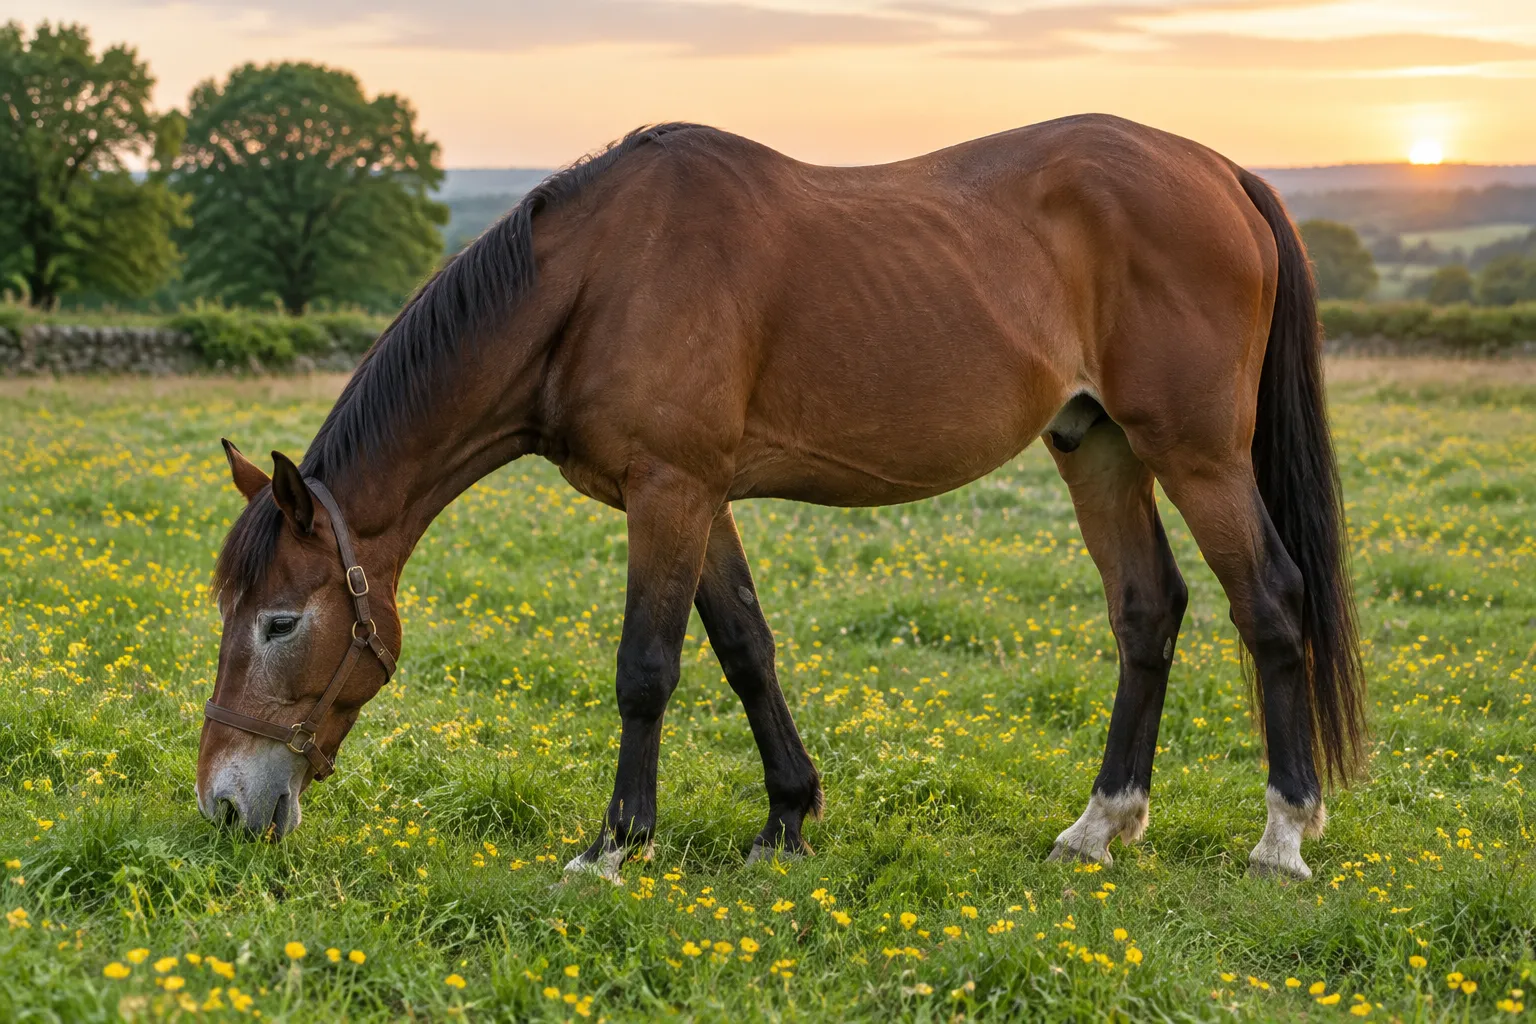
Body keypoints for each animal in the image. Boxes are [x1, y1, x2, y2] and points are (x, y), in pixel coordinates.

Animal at [197, 114, 1364, 881]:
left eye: (282, 621)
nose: (223, 803)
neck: (594, 281)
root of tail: (1220, 169)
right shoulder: (698, 497)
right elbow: (745, 649)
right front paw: (788, 822)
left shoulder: (671, 490)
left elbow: (648, 670)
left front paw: (613, 845)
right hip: (1101, 446)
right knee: (1147, 612)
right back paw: (1099, 825)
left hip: (1199, 453)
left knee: (1269, 603)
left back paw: (1282, 837)